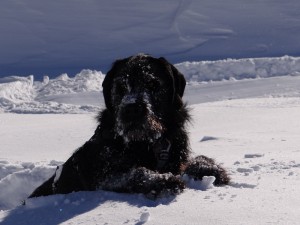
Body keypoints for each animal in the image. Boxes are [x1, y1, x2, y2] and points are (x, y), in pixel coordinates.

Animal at [28, 54, 230, 199]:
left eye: (152, 84)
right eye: (120, 87)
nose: (131, 108)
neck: (148, 142)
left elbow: (191, 161)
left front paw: (208, 168)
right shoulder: (104, 177)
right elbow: (136, 173)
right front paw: (163, 181)